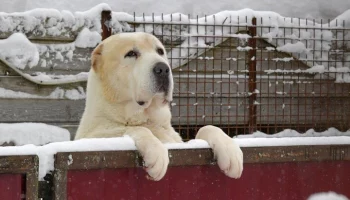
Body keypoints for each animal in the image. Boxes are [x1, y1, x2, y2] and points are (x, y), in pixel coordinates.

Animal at [75, 32, 242, 180]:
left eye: (160, 51)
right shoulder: (92, 137)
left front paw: (230, 149)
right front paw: (156, 152)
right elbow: (136, 129)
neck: (148, 118)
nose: (162, 68)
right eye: (131, 53)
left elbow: (207, 127)